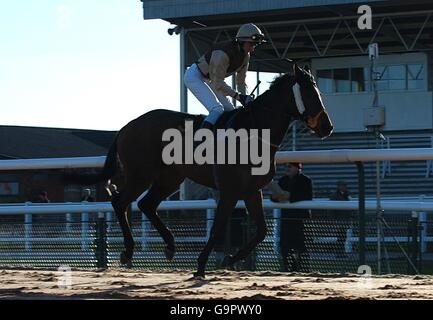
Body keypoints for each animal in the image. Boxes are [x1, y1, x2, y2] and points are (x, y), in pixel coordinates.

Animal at [66, 64, 330, 278]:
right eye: (310, 93)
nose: (327, 126)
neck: (254, 133)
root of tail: (126, 127)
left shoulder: (251, 191)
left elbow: (261, 231)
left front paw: (229, 259)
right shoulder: (230, 190)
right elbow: (217, 227)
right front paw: (202, 265)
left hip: (170, 178)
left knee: (146, 205)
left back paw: (170, 246)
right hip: (141, 175)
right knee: (120, 202)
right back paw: (129, 251)